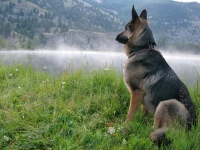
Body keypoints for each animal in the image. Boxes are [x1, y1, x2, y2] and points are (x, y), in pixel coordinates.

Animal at [115, 5, 197, 145]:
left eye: (126, 27)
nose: (115, 37)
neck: (142, 49)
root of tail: (189, 130)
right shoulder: (142, 96)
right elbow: (144, 111)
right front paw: (142, 120)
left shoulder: (136, 93)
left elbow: (130, 114)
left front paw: (125, 126)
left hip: (166, 103)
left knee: (154, 128)